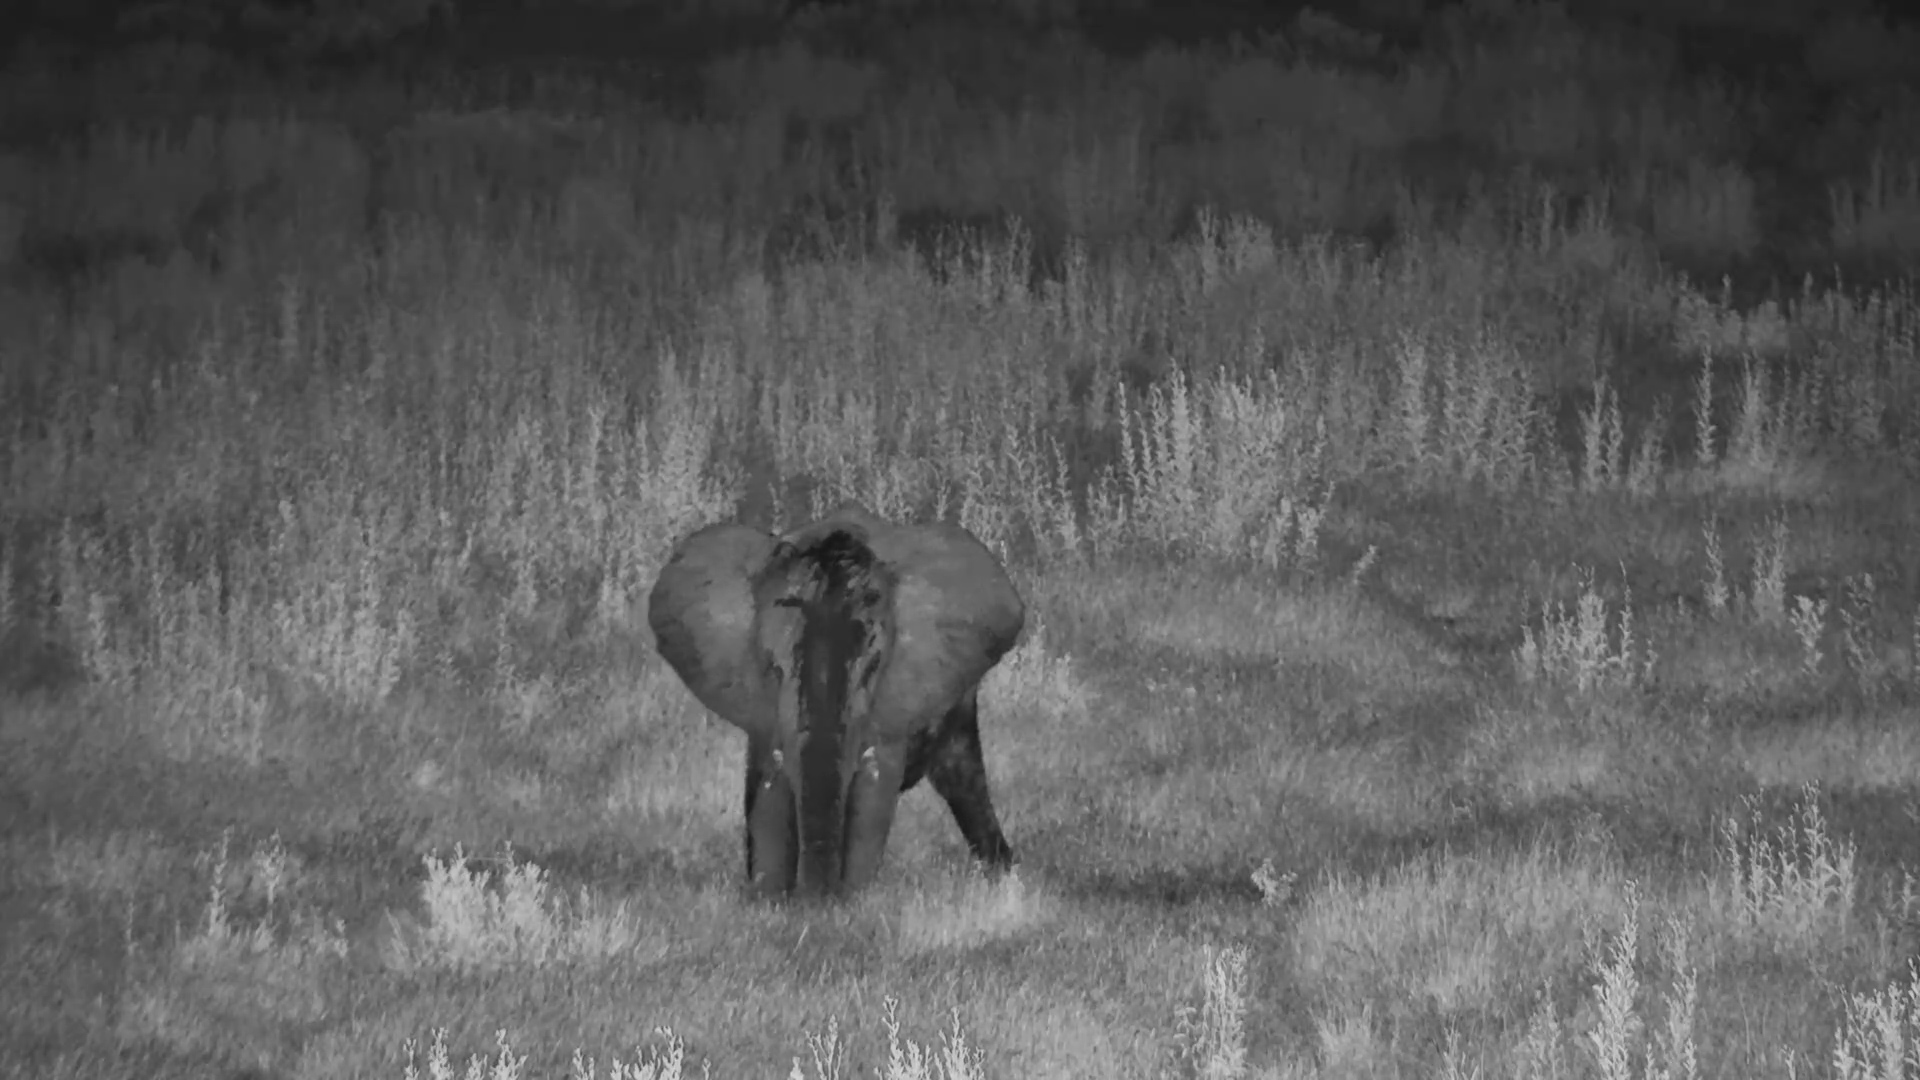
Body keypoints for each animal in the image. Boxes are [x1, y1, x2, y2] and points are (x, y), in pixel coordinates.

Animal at [646, 501, 1024, 899]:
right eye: (773, 670)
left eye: (873, 669)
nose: (817, 898)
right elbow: (769, 791)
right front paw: (770, 899)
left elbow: (873, 794)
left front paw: (854, 900)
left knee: (961, 777)